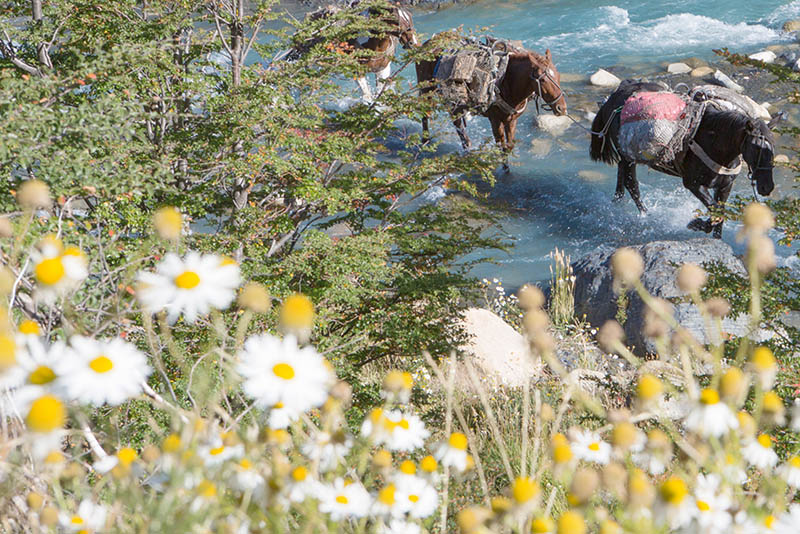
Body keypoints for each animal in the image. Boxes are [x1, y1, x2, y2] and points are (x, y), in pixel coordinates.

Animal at [416, 40, 564, 169]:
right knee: (427, 114)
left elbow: (509, 146)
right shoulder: (495, 120)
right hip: (427, 91)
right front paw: (504, 168)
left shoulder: (511, 119)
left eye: (558, 75)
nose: (561, 108)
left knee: (457, 123)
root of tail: (425, 44)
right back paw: (426, 140)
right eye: (543, 80)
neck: (506, 81)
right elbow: (501, 145)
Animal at [588, 80, 776, 238]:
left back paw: (617, 202)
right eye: (756, 147)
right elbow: (716, 212)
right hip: (629, 157)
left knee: (621, 176)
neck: (714, 141)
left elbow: (720, 214)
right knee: (631, 183)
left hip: (625, 157)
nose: (767, 187)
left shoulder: (725, 186)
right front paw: (696, 224)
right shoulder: (693, 184)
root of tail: (613, 98)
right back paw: (646, 215)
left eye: (773, 148)